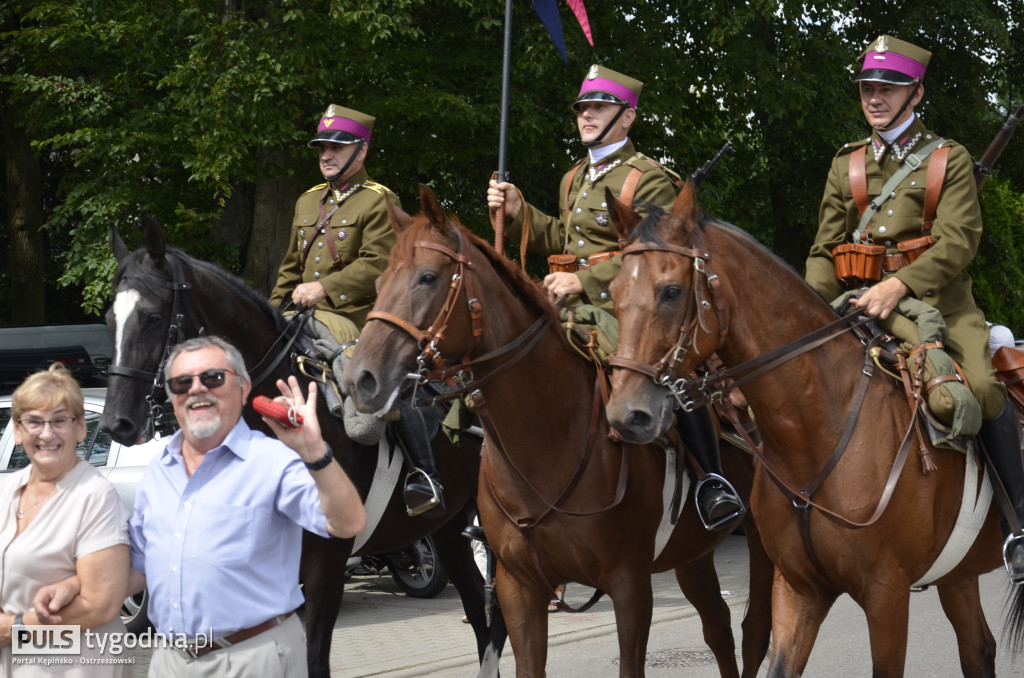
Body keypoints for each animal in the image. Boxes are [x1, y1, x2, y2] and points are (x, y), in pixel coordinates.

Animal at [99, 218, 507, 678]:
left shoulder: (325, 564)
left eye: (152, 317)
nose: (117, 421)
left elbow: (312, 657)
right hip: (449, 530)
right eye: (109, 320)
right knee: (478, 610)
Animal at [344, 186, 770, 678]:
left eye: (428, 277)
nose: (361, 378)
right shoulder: (519, 588)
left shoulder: (630, 584)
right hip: (693, 555)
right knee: (718, 628)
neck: (547, 444)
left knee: (755, 630)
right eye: (378, 284)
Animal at [602, 182, 1024, 678]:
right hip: (956, 573)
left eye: (670, 291)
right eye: (612, 290)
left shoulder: (886, 594)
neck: (817, 432)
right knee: (978, 648)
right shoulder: (797, 589)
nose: (626, 413)